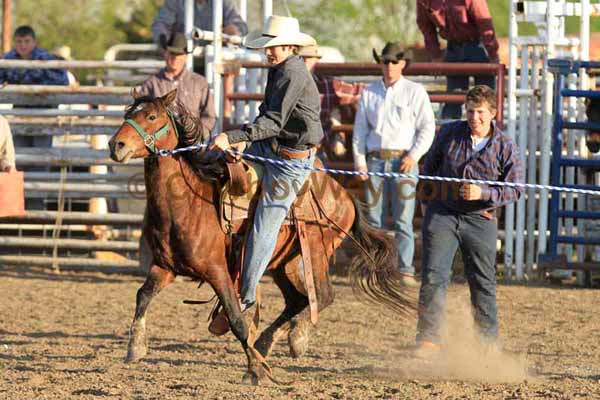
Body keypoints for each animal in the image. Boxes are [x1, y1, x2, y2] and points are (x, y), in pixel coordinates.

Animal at [109, 89, 412, 382]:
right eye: (128, 114)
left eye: (151, 116)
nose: (115, 145)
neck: (188, 204)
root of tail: (344, 193)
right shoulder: (165, 267)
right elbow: (142, 295)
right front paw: (135, 346)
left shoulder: (217, 271)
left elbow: (237, 320)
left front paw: (255, 368)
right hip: (283, 263)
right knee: (297, 299)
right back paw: (268, 342)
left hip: (315, 252)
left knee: (323, 295)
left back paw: (295, 337)